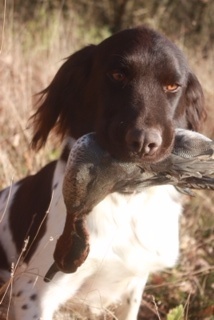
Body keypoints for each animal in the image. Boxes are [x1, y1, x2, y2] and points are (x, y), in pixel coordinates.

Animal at [0, 25, 206, 320]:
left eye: (172, 86)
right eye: (117, 75)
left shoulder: (134, 282)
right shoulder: (34, 291)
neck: (126, 199)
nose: (144, 142)